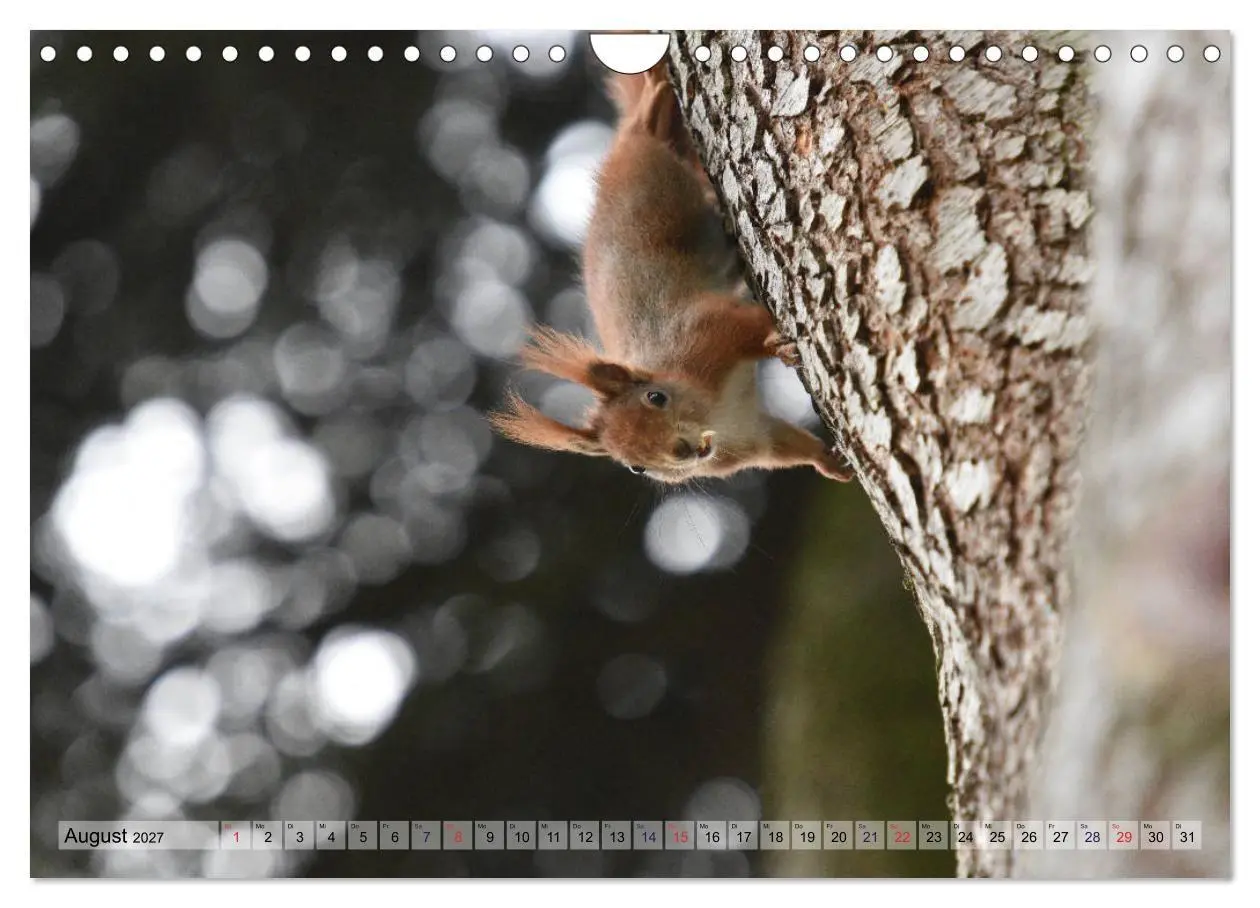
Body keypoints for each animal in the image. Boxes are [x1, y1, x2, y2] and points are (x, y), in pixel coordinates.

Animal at [490, 63, 852, 484]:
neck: (714, 412)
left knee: (652, 125)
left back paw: (655, 97)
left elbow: (747, 322)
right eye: (636, 467)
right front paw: (829, 462)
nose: (681, 451)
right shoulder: (749, 437)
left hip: (657, 183)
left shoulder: (707, 330)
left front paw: (777, 345)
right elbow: (783, 445)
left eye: (656, 397)